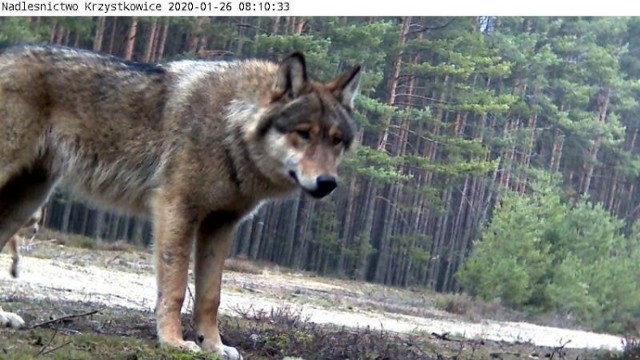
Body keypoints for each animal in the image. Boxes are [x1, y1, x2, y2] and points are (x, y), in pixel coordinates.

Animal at [0, 43, 360, 358]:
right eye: (304, 133)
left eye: (336, 141)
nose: (328, 183)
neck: (229, 127)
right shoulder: (176, 210)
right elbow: (174, 289)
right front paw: (173, 342)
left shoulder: (221, 224)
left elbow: (210, 297)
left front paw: (213, 346)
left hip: (27, 199)